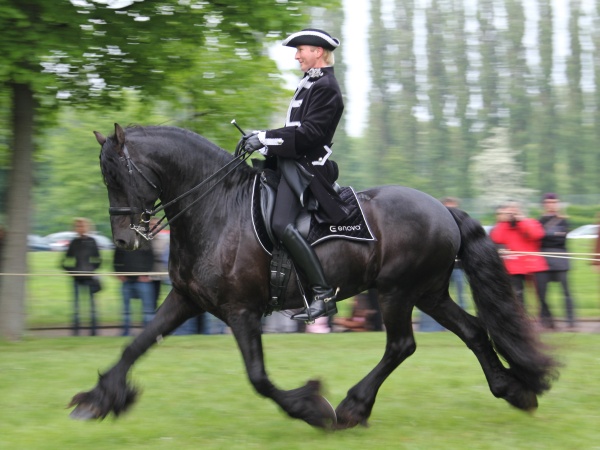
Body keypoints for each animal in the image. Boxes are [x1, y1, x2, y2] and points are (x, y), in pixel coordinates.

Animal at [69, 123, 556, 428]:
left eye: (117, 175)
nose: (124, 242)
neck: (216, 209)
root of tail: (442, 208)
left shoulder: (241, 311)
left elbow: (259, 378)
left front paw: (310, 408)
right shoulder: (186, 300)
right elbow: (136, 344)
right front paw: (99, 400)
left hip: (397, 291)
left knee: (401, 345)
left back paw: (353, 407)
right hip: (429, 293)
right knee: (473, 331)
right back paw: (514, 390)